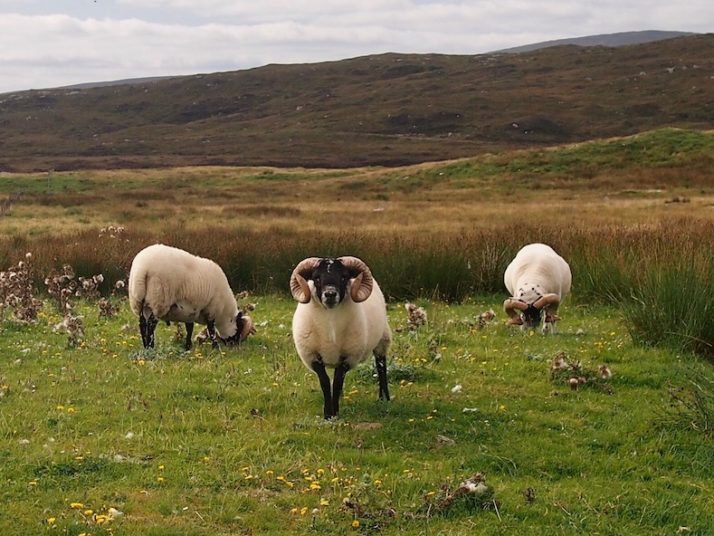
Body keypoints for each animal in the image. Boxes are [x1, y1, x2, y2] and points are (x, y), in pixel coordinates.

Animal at [290, 255, 390, 418]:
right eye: (316, 278)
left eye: (344, 277)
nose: (330, 294)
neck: (330, 324)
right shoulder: (312, 356)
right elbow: (325, 382)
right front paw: (327, 414)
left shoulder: (348, 357)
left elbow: (337, 382)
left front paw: (335, 413)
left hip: (382, 339)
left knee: (381, 367)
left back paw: (384, 398)